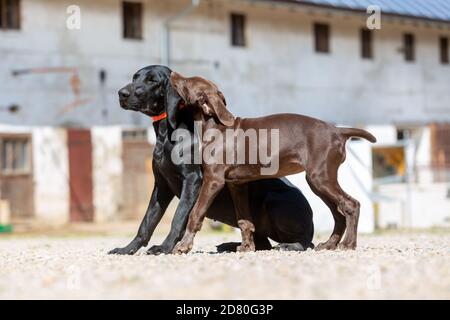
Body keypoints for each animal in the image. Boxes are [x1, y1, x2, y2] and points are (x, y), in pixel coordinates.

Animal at [109, 65, 312, 255]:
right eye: (134, 78)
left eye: (152, 80)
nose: (121, 93)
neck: (167, 133)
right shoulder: (162, 185)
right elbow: (147, 223)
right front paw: (127, 249)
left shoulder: (193, 181)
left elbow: (179, 217)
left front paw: (164, 247)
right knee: (261, 242)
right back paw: (230, 246)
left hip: (273, 201)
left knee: (305, 242)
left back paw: (290, 245)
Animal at [169, 72, 376, 252]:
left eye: (187, 82)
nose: (172, 73)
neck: (215, 128)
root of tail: (337, 131)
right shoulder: (237, 185)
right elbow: (244, 220)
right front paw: (247, 247)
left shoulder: (213, 180)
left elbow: (196, 213)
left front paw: (183, 246)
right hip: (319, 182)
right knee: (338, 213)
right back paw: (329, 244)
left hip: (320, 177)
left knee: (351, 205)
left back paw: (348, 244)